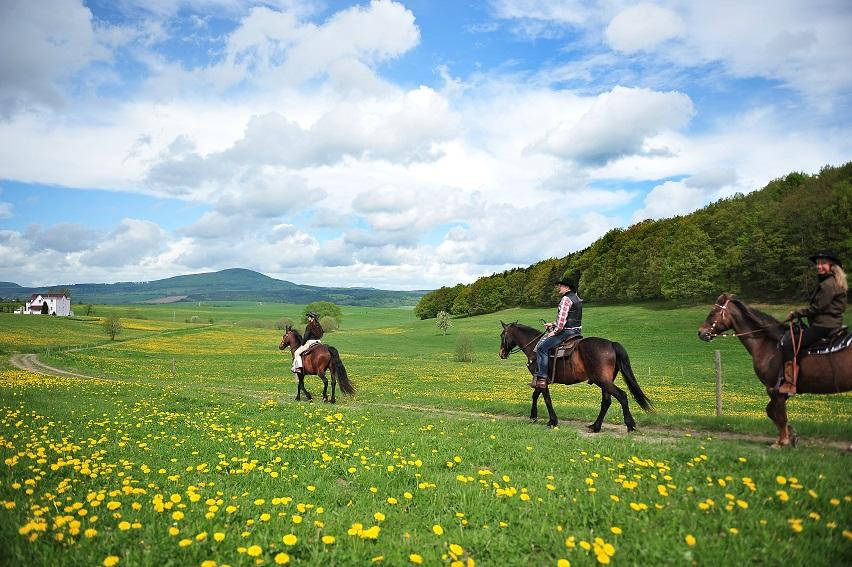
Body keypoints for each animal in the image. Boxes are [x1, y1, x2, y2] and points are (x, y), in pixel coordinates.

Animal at [500, 324, 652, 430]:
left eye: (502, 335)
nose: (501, 353)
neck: (534, 347)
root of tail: (611, 344)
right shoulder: (540, 380)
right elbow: (535, 395)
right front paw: (533, 416)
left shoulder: (542, 380)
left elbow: (546, 398)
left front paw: (552, 421)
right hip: (605, 382)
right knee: (606, 401)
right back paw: (596, 426)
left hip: (603, 381)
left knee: (622, 396)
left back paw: (630, 425)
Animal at [700, 292, 852, 448]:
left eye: (712, 313)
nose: (701, 332)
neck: (767, 344)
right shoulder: (779, 391)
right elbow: (771, 412)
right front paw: (792, 435)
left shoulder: (774, 388)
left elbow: (780, 415)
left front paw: (782, 441)